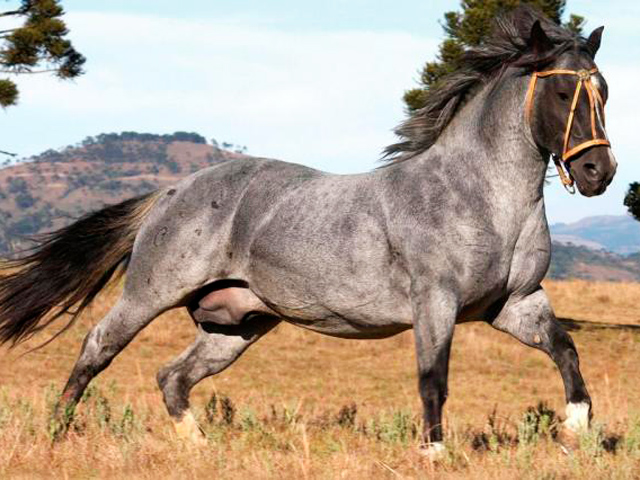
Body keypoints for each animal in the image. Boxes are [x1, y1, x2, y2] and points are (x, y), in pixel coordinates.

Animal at [0, 8, 616, 458]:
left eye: (604, 91)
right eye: (563, 94)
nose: (598, 173)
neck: (482, 198)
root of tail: (172, 191)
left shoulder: (514, 303)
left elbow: (566, 351)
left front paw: (577, 431)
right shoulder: (435, 303)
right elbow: (432, 378)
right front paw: (434, 455)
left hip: (236, 323)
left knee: (173, 376)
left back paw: (202, 448)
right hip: (151, 292)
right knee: (99, 346)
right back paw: (56, 433)